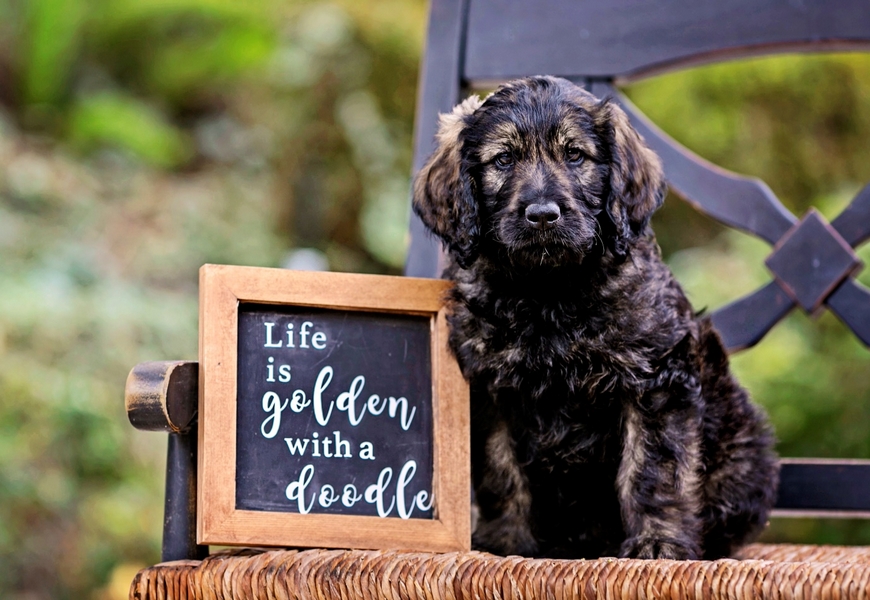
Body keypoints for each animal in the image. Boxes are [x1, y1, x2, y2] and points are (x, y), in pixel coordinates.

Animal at [412, 77, 780, 560]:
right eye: (503, 159)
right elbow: (500, 472)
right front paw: (507, 542)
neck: (549, 293)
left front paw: (658, 544)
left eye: (575, 155)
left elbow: (654, 470)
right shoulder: (492, 392)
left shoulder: (656, 381)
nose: (542, 215)